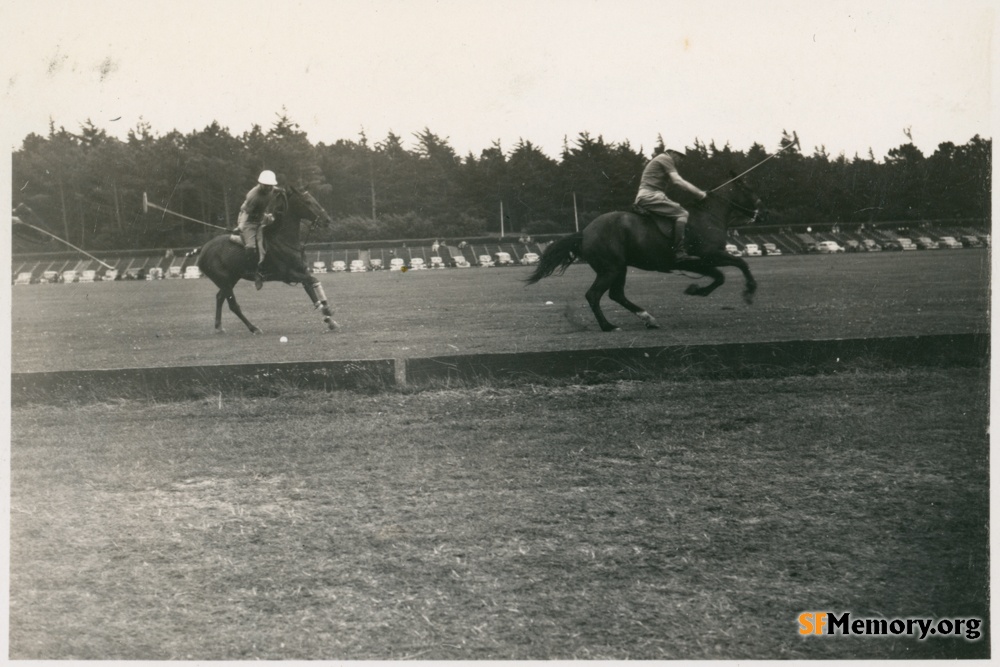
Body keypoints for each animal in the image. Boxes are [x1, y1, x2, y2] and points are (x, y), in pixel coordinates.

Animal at [192, 185, 340, 334]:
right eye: (307, 202)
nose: (327, 220)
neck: (283, 240)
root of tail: (203, 248)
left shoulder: (302, 272)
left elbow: (313, 293)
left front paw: (330, 321)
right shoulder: (288, 274)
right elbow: (315, 280)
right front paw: (327, 309)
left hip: (230, 279)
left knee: (219, 297)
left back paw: (219, 326)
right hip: (224, 280)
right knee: (233, 305)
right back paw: (253, 328)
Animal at [528, 179, 760, 332]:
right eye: (749, 189)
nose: (759, 208)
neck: (708, 216)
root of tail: (584, 232)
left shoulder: (699, 262)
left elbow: (720, 276)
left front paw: (696, 289)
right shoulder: (708, 256)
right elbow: (738, 264)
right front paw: (748, 291)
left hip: (619, 268)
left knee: (617, 294)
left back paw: (648, 319)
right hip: (611, 268)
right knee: (594, 295)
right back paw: (608, 326)